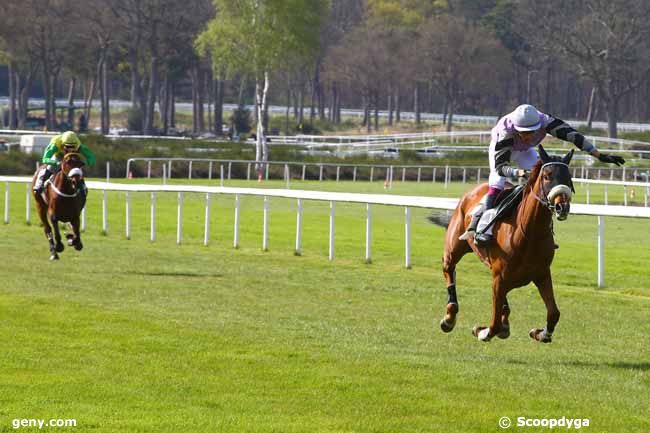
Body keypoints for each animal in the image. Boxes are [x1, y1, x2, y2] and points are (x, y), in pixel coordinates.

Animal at [432, 147, 576, 342]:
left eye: (568, 177)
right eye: (547, 176)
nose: (562, 207)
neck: (530, 234)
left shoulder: (542, 274)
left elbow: (554, 313)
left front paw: (541, 333)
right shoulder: (499, 277)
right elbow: (493, 325)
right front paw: (482, 331)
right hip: (453, 248)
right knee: (449, 269)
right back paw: (449, 318)